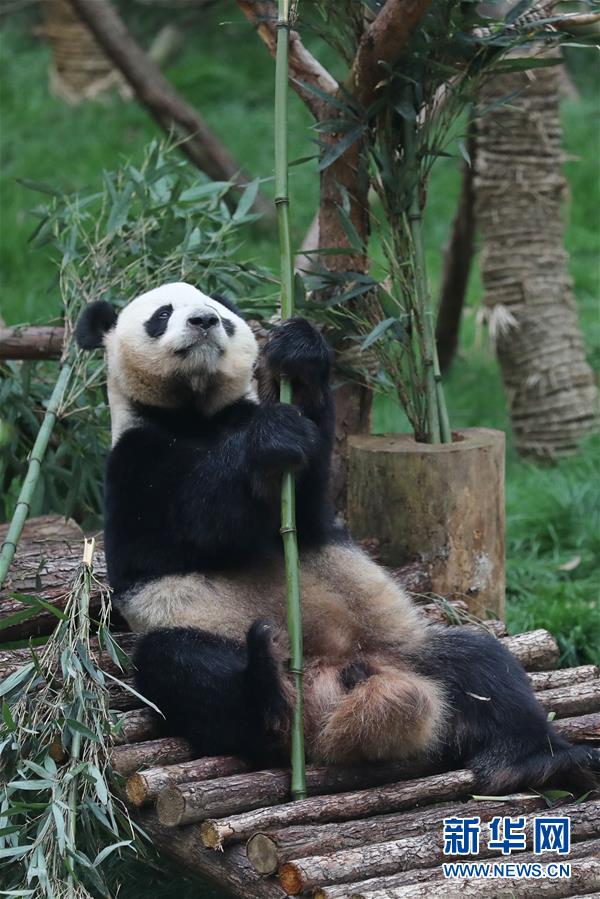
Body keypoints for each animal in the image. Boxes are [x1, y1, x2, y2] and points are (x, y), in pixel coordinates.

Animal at [77, 284, 596, 792]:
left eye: (220, 315)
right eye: (162, 314)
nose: (203, 321)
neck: (198, 414)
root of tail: (330, 692)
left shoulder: (293, 482)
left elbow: (306, 496)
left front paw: (298, 356)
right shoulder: (132, 464)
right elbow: (195, 525)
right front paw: (270, 438)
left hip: (406, 650)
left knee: (484, 667)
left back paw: (535, 762)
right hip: (199, 628)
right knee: (184, 667)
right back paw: (264, 690)